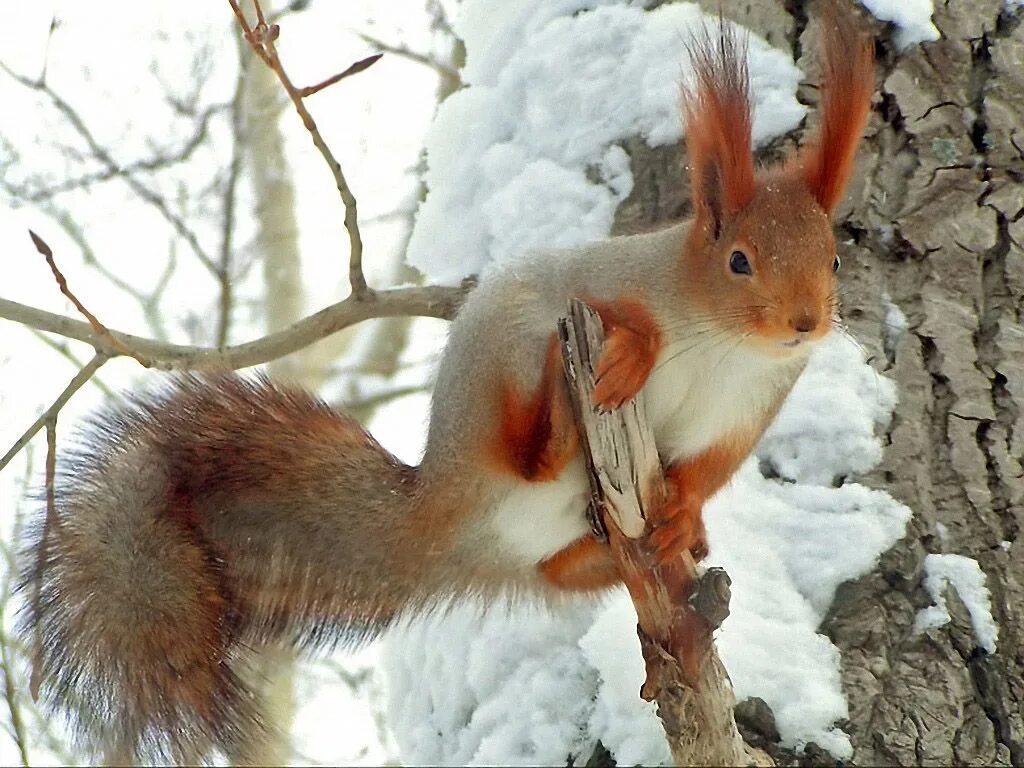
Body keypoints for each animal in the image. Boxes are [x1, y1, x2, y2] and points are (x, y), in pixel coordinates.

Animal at [16, 7, 872, 768]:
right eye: (738, 260)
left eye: (834, 258)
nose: (805, 323)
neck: (729, 346)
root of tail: (441, 512)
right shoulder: (607, 281)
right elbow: (625, 316)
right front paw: (637, 348)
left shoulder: (750, 409)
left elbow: (705, 474)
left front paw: (685, 520)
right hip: (502, 363)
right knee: (525, 452)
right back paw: (560, 418)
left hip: (556, 535)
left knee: (559, 566)